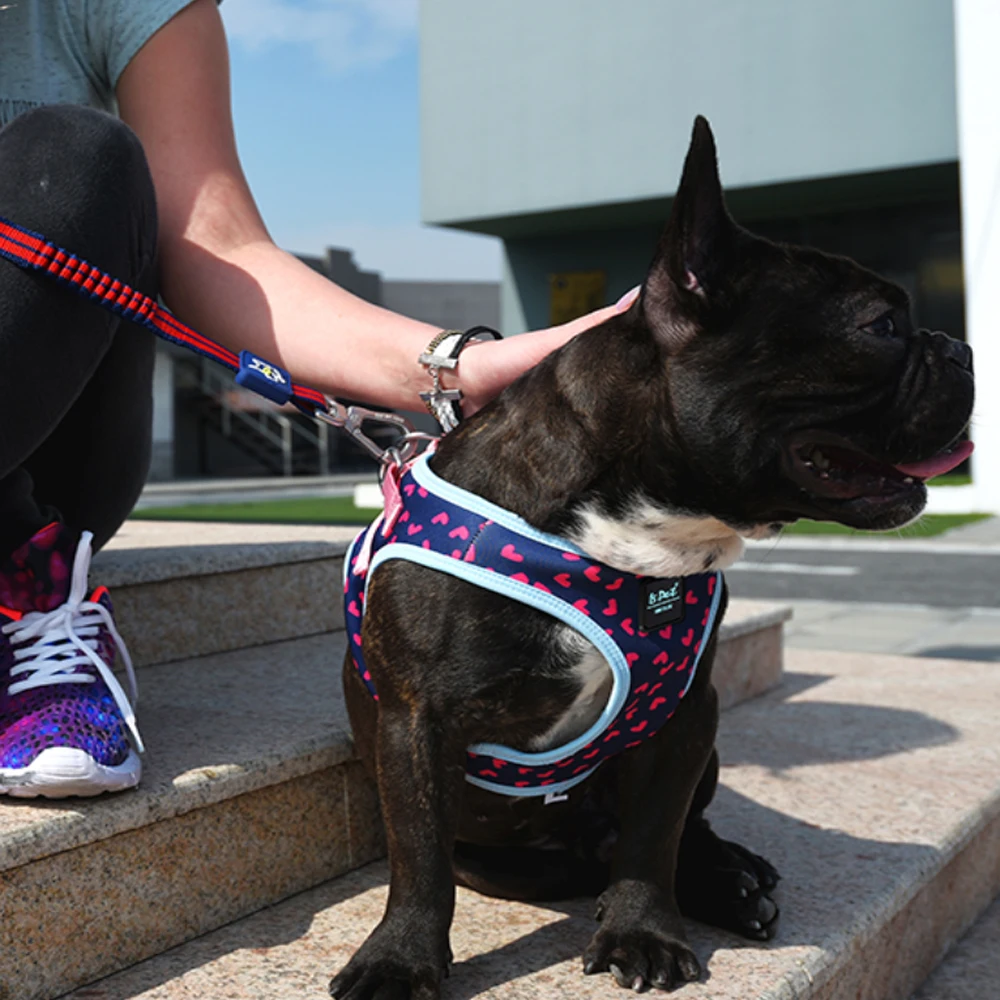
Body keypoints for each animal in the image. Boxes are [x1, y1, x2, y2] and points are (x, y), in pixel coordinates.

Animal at [332, 115, 972, 992]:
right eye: (880, 326)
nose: (960, 348)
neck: (634, 537)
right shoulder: (416, 724)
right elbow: (421, 860)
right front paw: (400, 959)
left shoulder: (683, 718)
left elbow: (654, 837)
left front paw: (643, 930)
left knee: (675, 834)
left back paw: (729, 880)